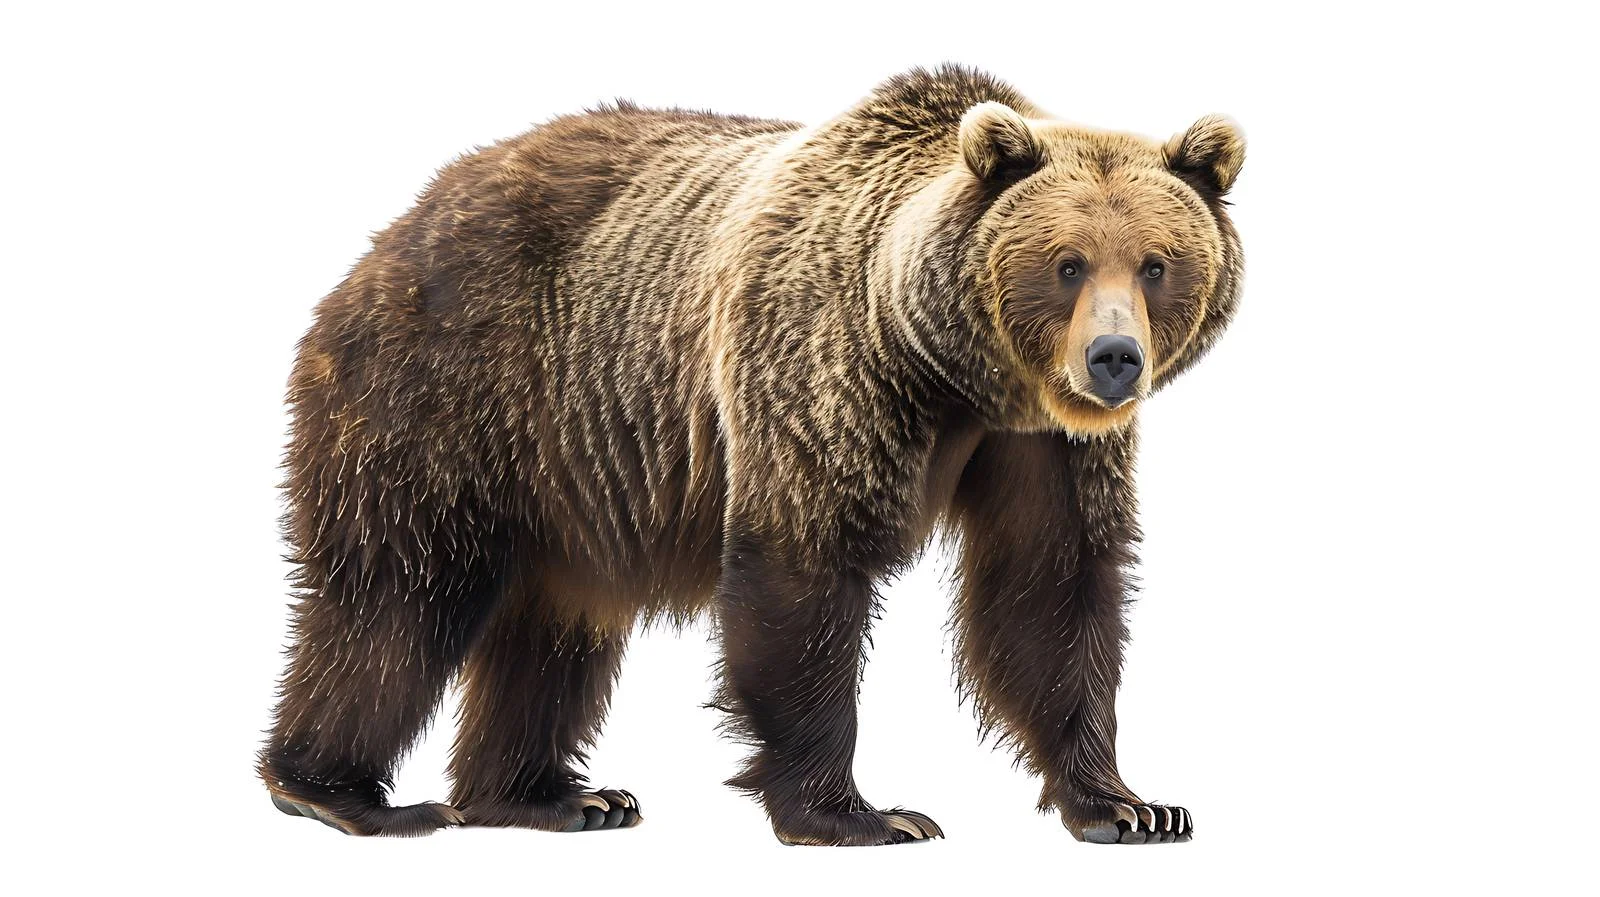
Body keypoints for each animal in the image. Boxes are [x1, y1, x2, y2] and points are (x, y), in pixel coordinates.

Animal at [260, 64, 1245, 846]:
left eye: (1156, 262)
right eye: (1067, 262)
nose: (1113, 358)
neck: (955, 370)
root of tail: (395, 227)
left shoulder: (1043, 444)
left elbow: (1050, 584)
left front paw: (1130, 805)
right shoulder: (823, 367)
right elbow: (801, 564)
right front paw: (861, 813)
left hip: (565, 468)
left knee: (556, 622)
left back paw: (555, 795)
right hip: (450, 390)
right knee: (397, 594)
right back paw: (338, 792)